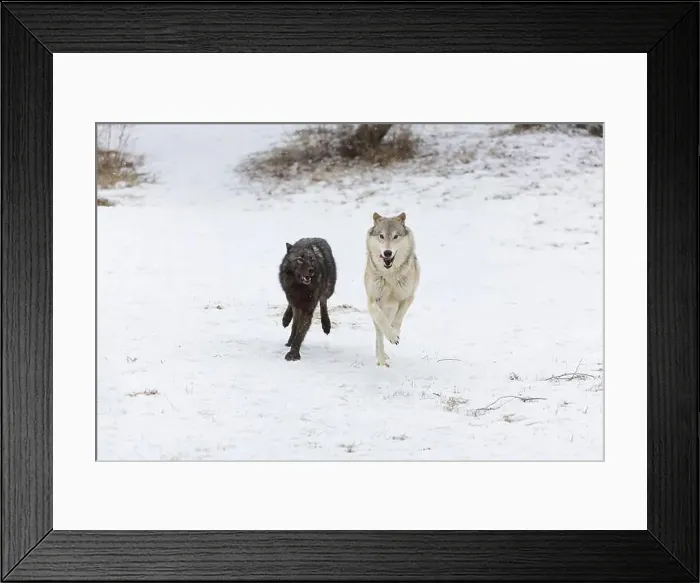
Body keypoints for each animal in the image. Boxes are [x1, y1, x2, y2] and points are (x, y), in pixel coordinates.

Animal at [364, 212, 420, 367]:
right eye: (381, 236)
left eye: (395, 236)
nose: (387, 253)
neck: (390, 276)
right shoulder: (372, 301)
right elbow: (381, 320)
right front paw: (392, 336)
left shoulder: (408, 297)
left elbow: (399, 317)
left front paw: (395, 333)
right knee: (379, 333)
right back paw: (382, 360)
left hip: (392, 308)